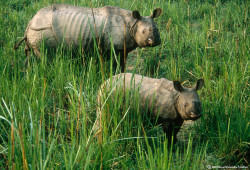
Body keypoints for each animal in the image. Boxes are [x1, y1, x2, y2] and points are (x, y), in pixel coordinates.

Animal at [14, 4, 162, 71]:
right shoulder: (116, 48)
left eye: (157, 29)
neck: (133, 23)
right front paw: (116, 75)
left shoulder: (122, 48)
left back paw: (26, 73)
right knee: (47, 56)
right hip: (42, 30)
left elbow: (122, 63)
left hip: (36, 30)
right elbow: (116, 65)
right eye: (143, 32)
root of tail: (30, 22)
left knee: (30, 55)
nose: (154, 41)